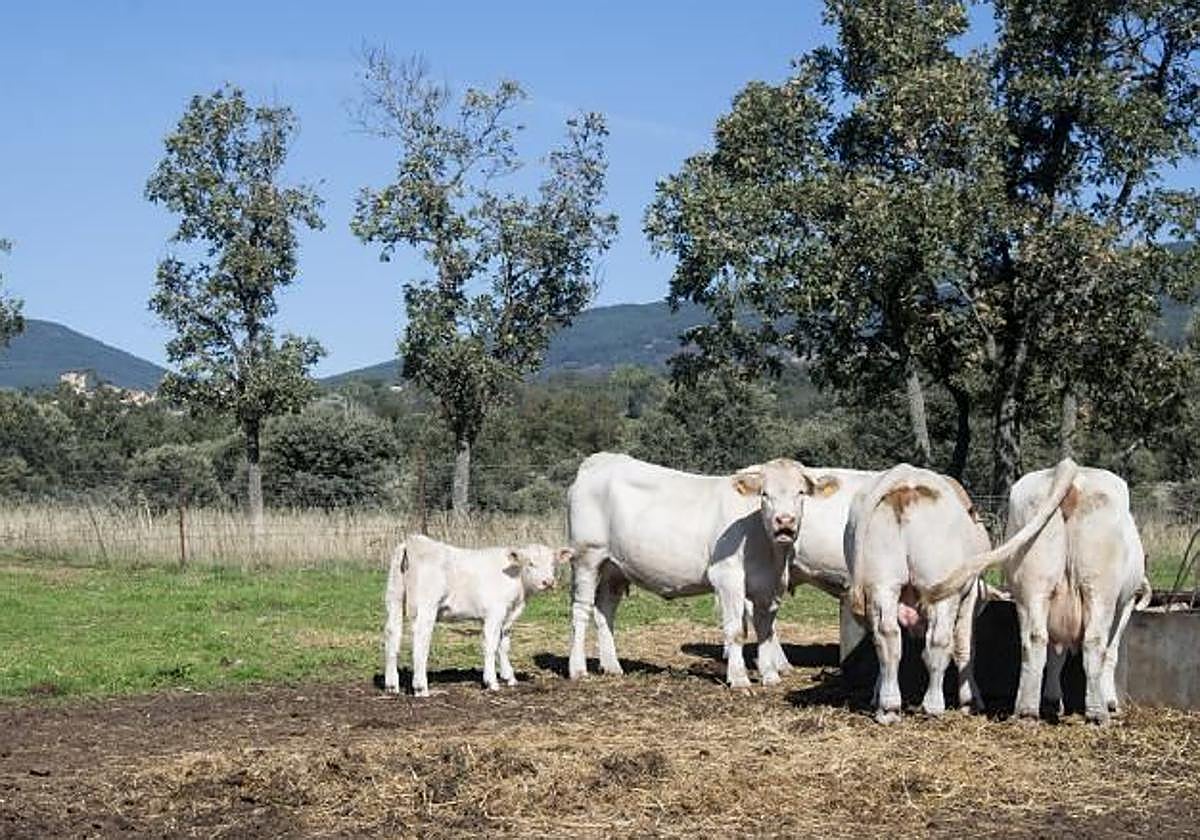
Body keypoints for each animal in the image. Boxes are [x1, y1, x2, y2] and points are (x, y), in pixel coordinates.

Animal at [382, 535, 572, 697]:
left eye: (553, 563)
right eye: (531, 563)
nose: (548, 582)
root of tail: (413, 541)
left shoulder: (507, 616)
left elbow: (504, 645)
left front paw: (509, 677)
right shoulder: (494, 613)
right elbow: (491, 645)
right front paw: (491, 682)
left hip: (394, 597)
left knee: (393, 634)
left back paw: (391, 685)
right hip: (426, 605)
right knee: (421, 639)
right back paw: (421, 687)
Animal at [566, 452, 837, 688]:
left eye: (800, 492)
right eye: (764, 494)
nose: (785, 521)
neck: (766, 549)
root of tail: (599, 460)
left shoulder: (769, 584)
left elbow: (765, 630)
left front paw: (770, 676)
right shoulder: (727, 577)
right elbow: (736, 630)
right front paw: (739, 679)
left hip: (614, 568)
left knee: (605, 610)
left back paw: (612, 666)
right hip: (586, 556)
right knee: (581, 610)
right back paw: (578, 669)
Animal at [846, 458, 1078, 723]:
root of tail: (904, 478)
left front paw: (876, 694)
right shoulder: (969, 597)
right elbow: (965, 649)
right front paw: (970, 700)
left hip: (883, 583)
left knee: (887, 636)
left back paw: (889, 707)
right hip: (943, 591)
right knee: (938, 641)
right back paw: (933, 705)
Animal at [925, 464, 1152, 724]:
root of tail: (1071, 470)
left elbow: (1055, 654)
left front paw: (1052, 700)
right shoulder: (1124, 604)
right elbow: (1110, 653)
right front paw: (1111, 701)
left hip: (1031, 588)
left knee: (1033, 640)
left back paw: (1026, 711)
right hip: (1099, 590)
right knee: (1094, 641)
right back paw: (1097, 713)